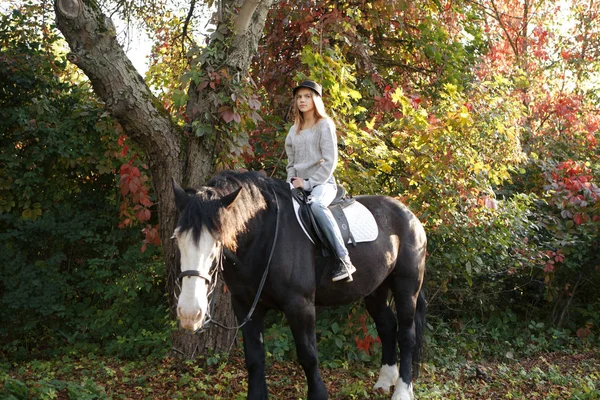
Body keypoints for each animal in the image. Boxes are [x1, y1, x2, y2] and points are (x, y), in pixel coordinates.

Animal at [173, 170, 426, 398]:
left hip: (406, 288)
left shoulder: (300, 306)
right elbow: (254, 358)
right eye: (177, 239)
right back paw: (385, 381)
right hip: (375, 290)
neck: (263, 239)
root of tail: (409, 215)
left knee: (406, 335)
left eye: (218, 241)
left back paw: (402, 391)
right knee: (387, 326)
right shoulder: (245, 306)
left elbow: (308, 356)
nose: (189, 313)